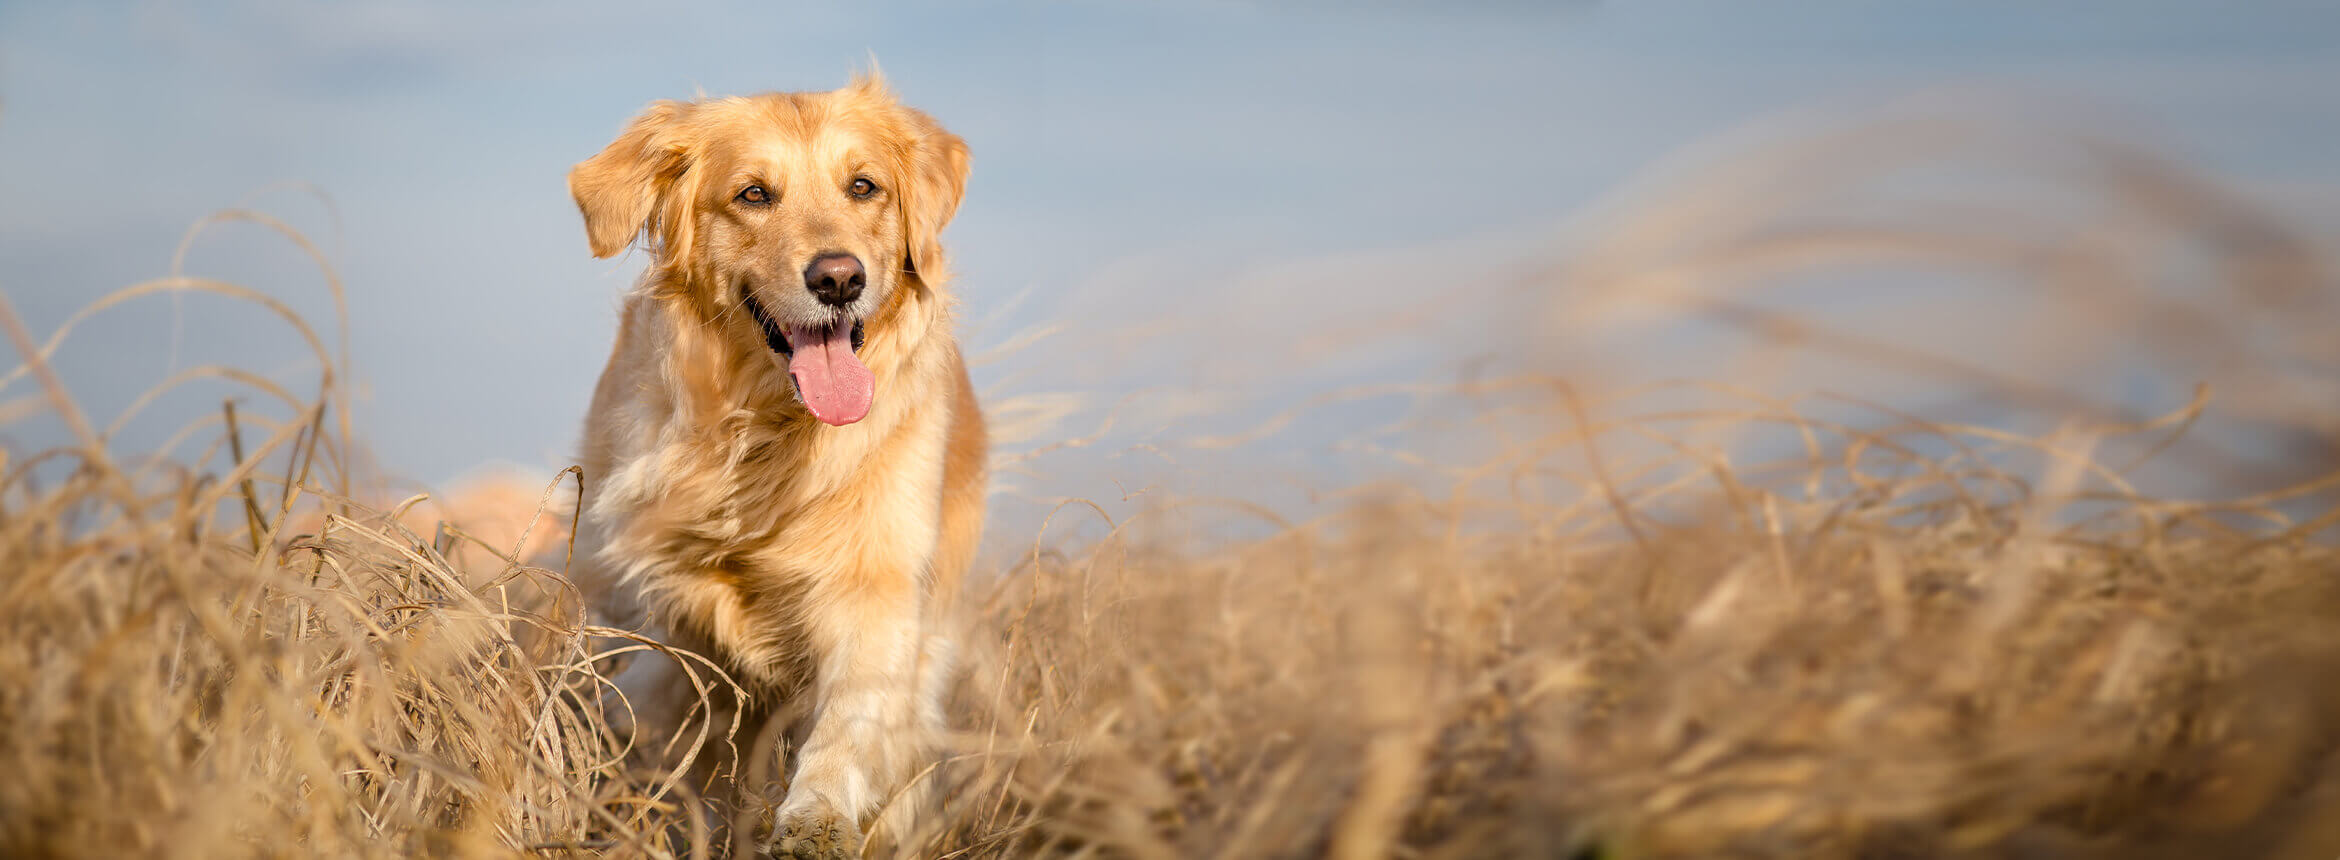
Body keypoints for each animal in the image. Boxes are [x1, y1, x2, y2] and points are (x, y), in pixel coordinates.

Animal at [568, 75, 987, 860]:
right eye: (754, 194)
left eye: (864, 186)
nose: (839, 278)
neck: (770, 433)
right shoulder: (671, 607)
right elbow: (669, 722)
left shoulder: (878, 584)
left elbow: (851, 718)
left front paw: (816, 817)